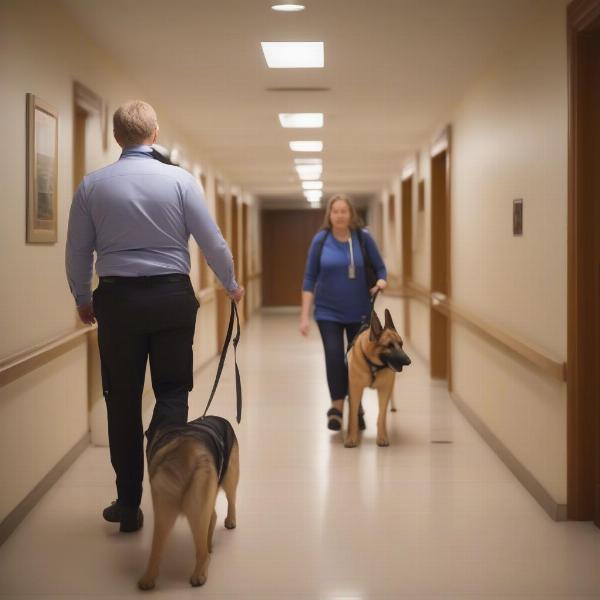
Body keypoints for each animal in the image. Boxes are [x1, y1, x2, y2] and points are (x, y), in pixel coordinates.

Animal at [344, 310, 410, 446]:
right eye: (389, 346)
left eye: (401, 344)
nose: (409, 361)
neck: (373, 365)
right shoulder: (355, 389)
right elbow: (352, 414)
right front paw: (351, 437)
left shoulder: (384, 390)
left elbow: (382, 416)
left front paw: (382, 436)